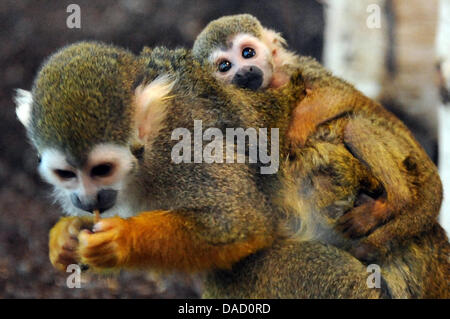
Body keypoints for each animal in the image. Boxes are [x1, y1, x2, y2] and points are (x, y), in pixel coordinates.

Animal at [192, 13, 444, 262]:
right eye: (225, 66)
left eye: (247, 53)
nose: (244, 72)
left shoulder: (293, 69)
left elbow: (339, 93)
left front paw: (295, 129)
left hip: (399, 148)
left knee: (355, 126)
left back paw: (397, 200)